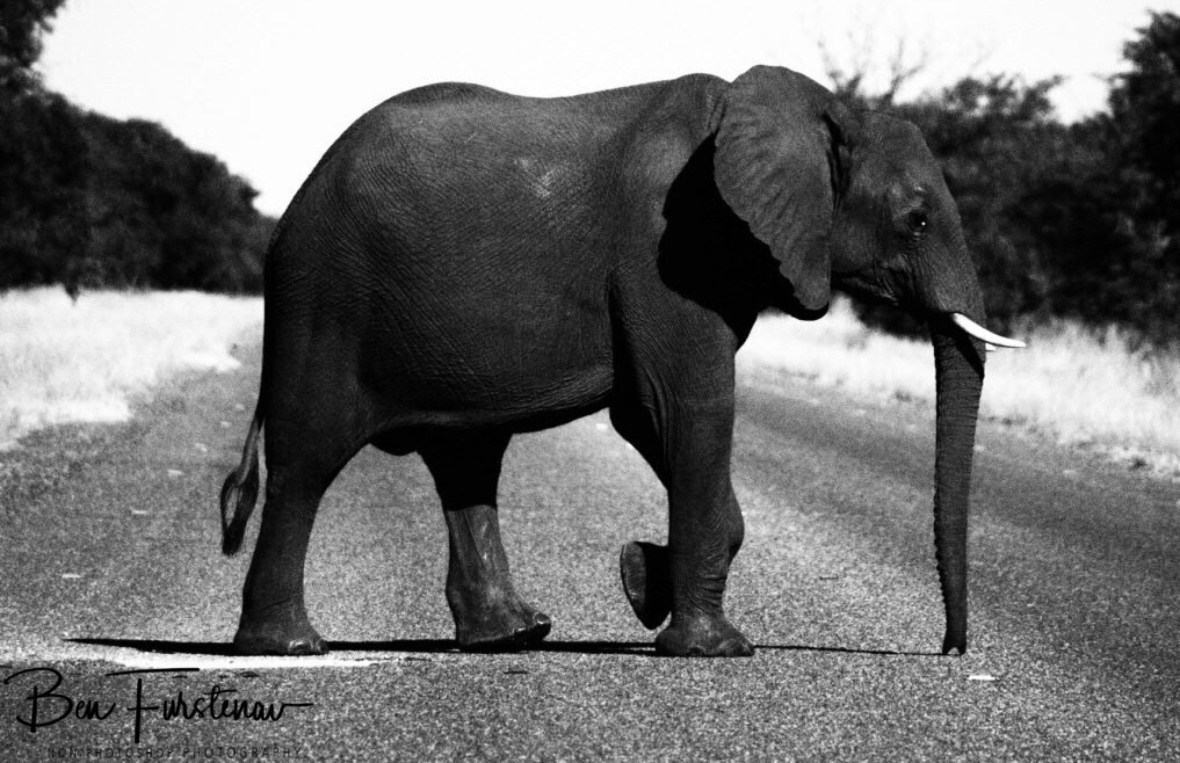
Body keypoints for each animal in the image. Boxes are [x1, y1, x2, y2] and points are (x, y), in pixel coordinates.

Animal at [219, 64, 1022, 658]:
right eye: (917, 219)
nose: (951, 649)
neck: (811, 113)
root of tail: (294, 203)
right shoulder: (670, 245)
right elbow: (686, 406)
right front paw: (713, 648)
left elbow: (649, 416)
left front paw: (639, 580)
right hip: (325, 297)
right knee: (309, 458)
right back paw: (289, 647)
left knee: (466, 459)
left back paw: (515, 634)